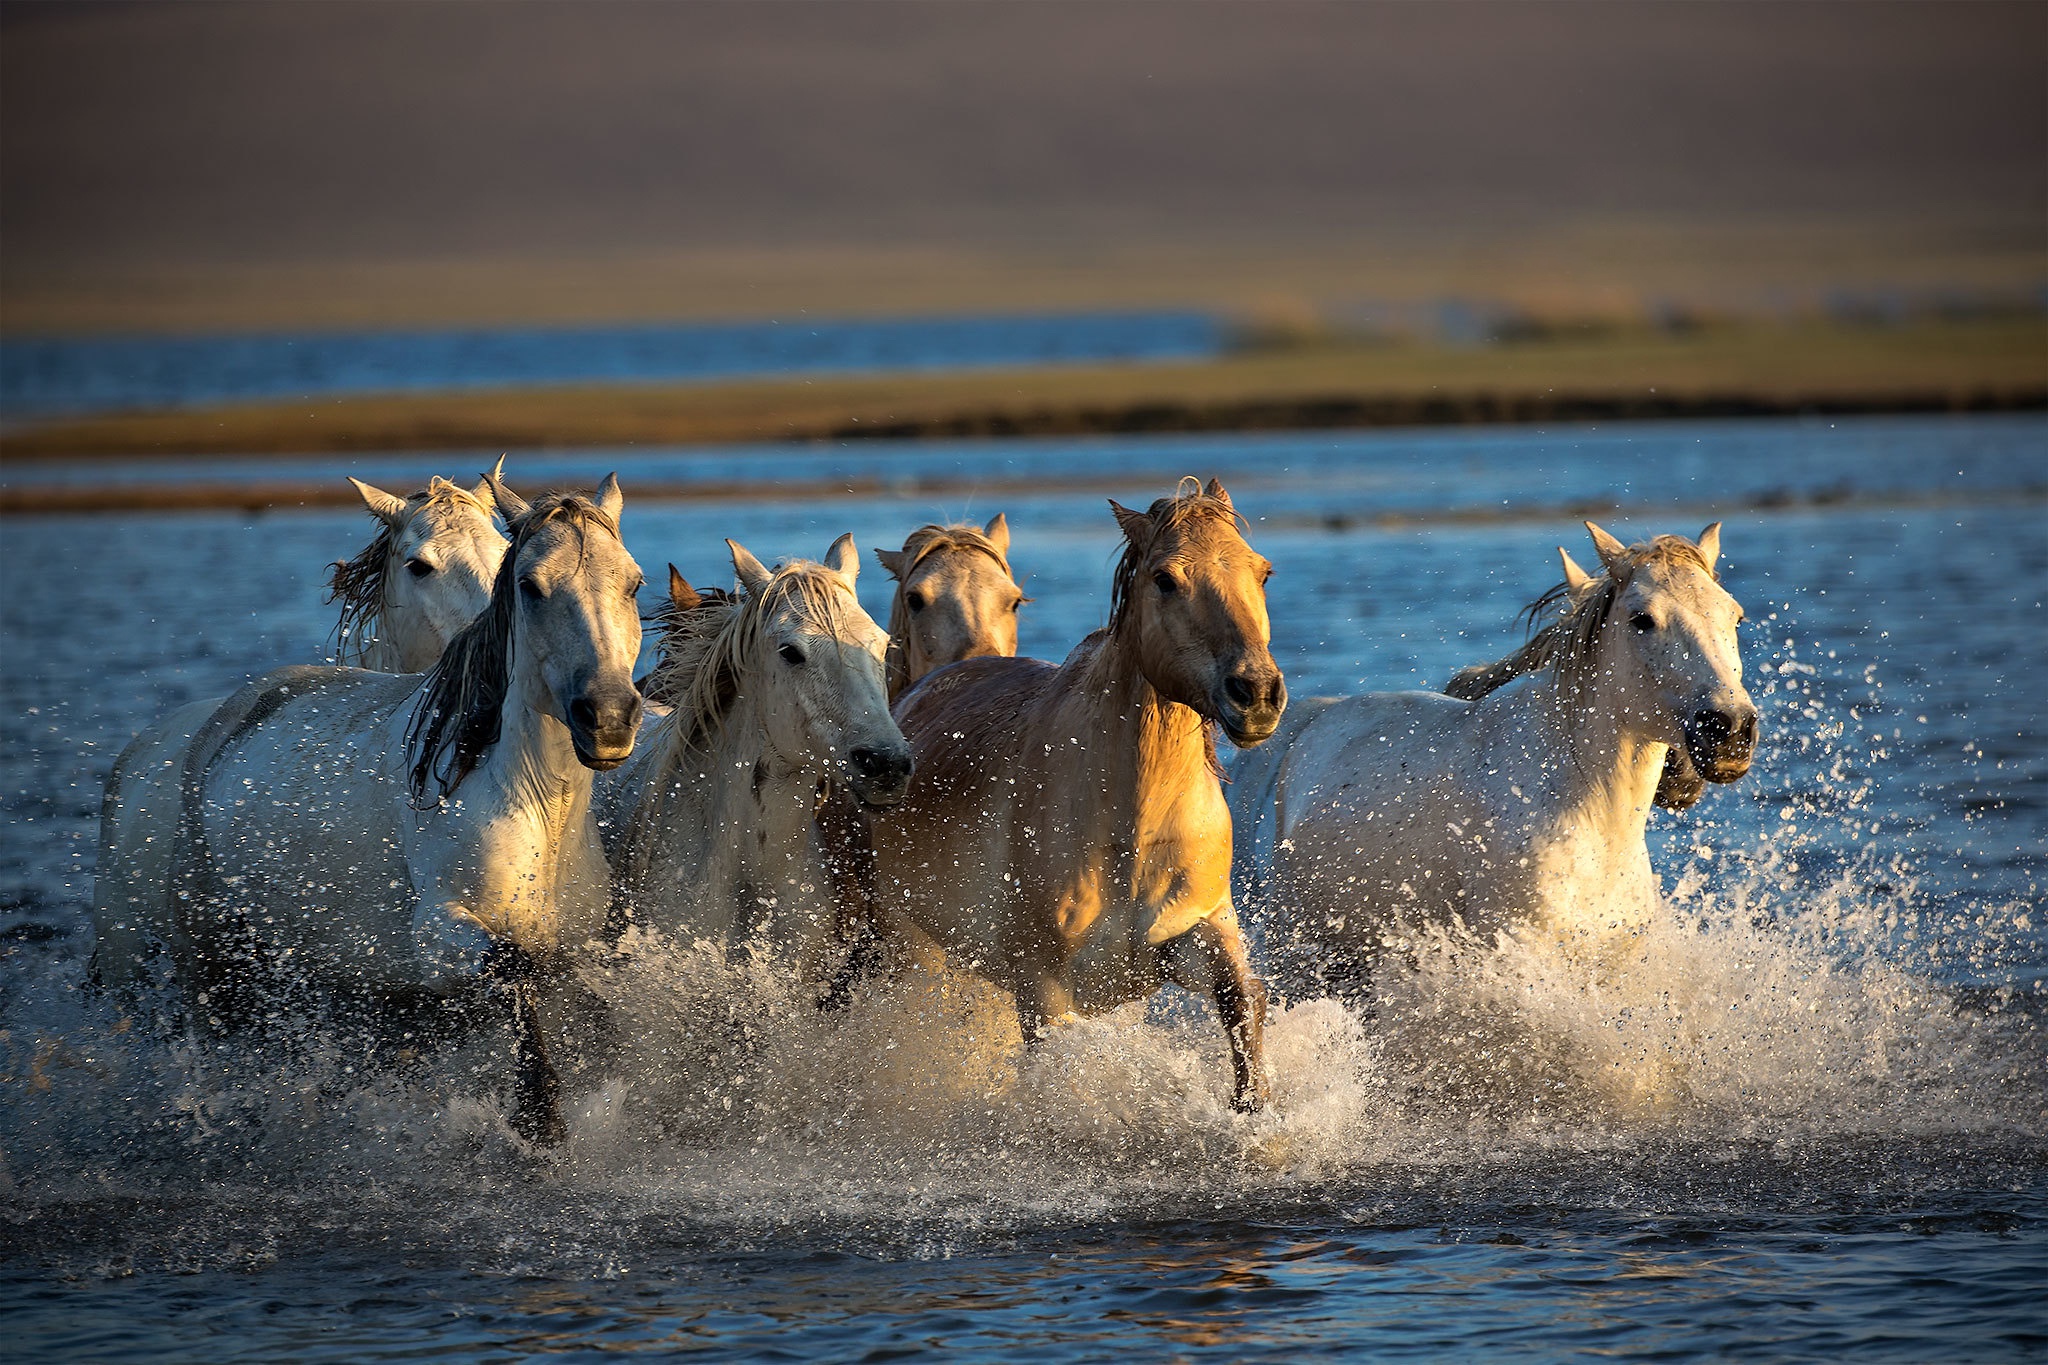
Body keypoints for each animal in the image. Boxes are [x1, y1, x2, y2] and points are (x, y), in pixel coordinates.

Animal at [856, 480, 1286, 1113]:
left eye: (1263, 571)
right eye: (1165, 579)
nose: (1255, 693)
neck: (1131, 822)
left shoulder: (1194, 930)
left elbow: (1242, 999)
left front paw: (1253, 1112)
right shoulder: (1045, 988)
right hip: (913, 945)